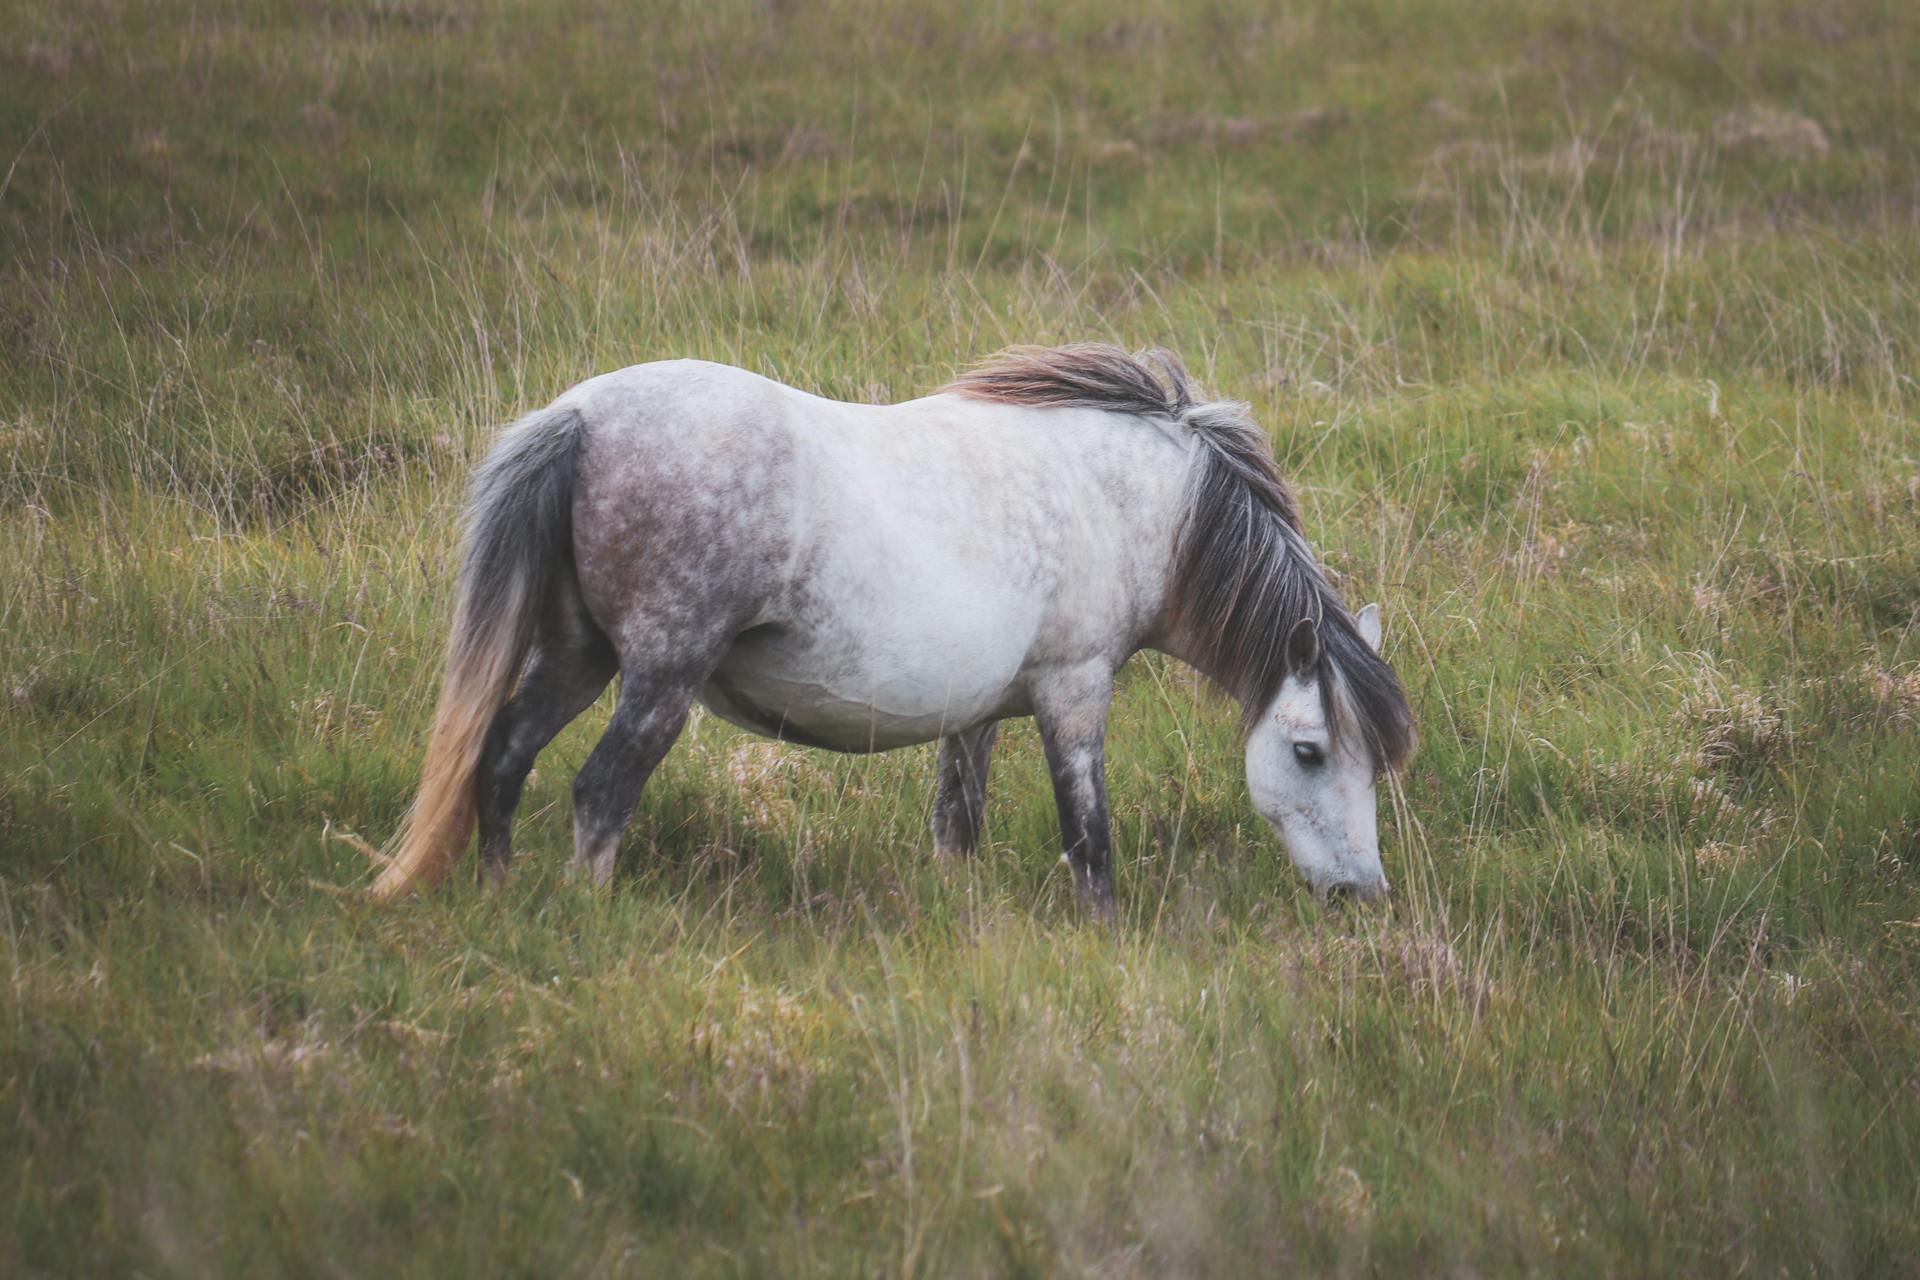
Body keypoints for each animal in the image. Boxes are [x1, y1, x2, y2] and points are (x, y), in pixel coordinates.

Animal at [374, 343, 1420, 909]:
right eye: (1310, 751)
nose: (1360, 897)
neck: (1143, 504)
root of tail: (581, 414)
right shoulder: (1075, 691)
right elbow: (1091, 843)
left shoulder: (979, 714)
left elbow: (957, 829)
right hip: (659, 679)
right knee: (598, 795)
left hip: (577, 658)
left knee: (501, 760)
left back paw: (502, 895)